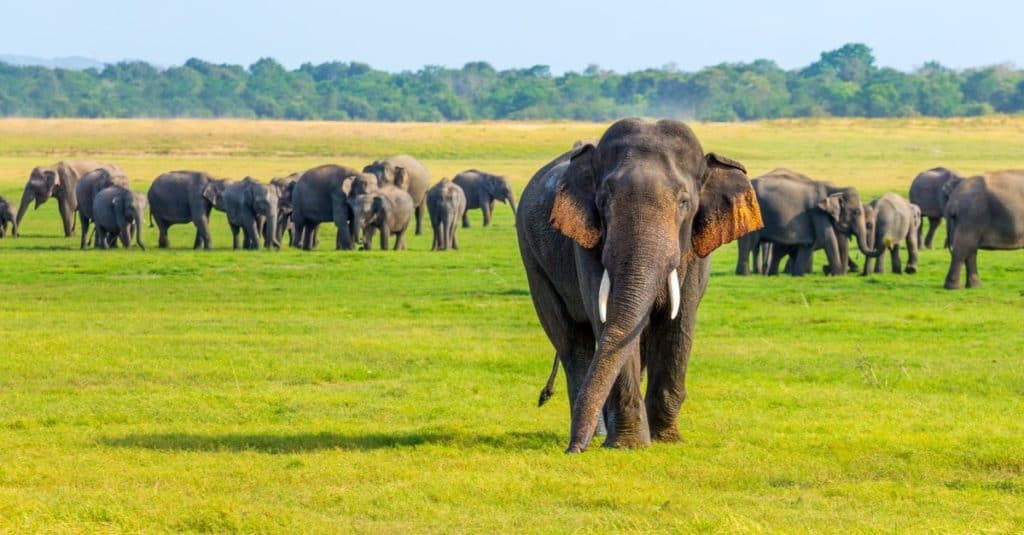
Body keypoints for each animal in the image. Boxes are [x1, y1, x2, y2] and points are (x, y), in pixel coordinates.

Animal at [516, 118, 763, 453]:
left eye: (684, 202)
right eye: (603, 201)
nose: (572, 450)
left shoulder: (694, 251)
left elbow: (679, 323)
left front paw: (666, 440)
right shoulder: (587, 242)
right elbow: (607, 321)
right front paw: (629, 445)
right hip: (533, 261)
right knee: (572, 341)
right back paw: (597, 435)